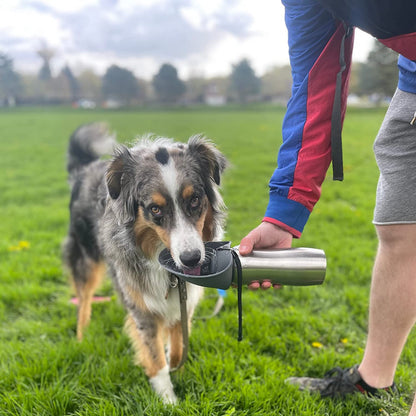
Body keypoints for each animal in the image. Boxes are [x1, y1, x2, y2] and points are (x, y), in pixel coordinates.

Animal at [63, 122, 228, 404]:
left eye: (195, 200)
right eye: (155, 209)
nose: (192, 258)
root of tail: (86, 167)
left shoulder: (184, 302)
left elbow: (178, 345)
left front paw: (176, 367)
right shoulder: (141, 306)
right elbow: (155, 356)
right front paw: (169, 401)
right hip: (85, 256)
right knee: (83, 299)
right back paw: (82, 336)